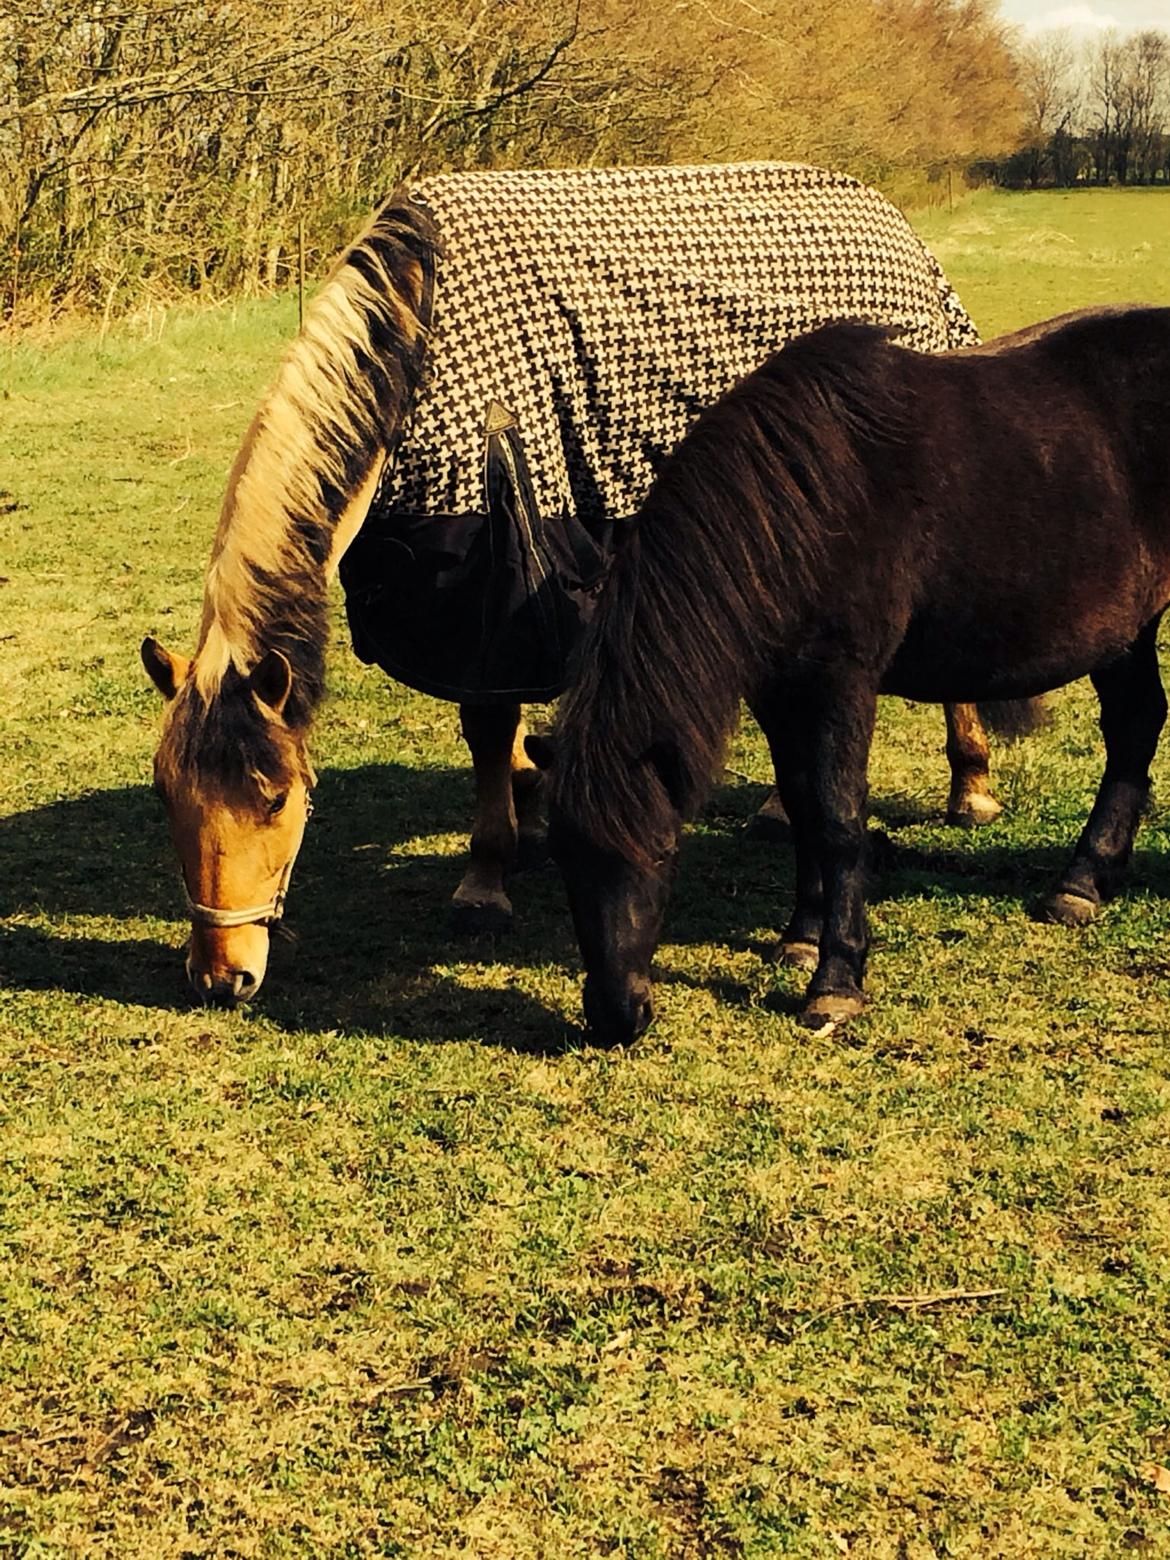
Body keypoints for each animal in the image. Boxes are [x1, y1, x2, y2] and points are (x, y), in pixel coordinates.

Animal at [146, 164, 1023, 1004]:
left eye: (275, 799)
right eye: (167, 797)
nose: (222, 976)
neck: (421, 343)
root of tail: (900, 233)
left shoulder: (495, 582)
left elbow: (488, 729)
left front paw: (485, 880)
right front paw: (529, 814)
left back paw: (968, 785)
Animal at [549, 305, 1170, 1042]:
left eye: (663, 850)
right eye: (562, 857)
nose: (617, 1016)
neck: (803, 509)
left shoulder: (841, 682)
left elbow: (839, 817)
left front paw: (837, 980)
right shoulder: (778, 691)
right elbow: (802, 804)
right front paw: (801, 935)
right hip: (1126, 633)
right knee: (1135, 726)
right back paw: (1082, 885)